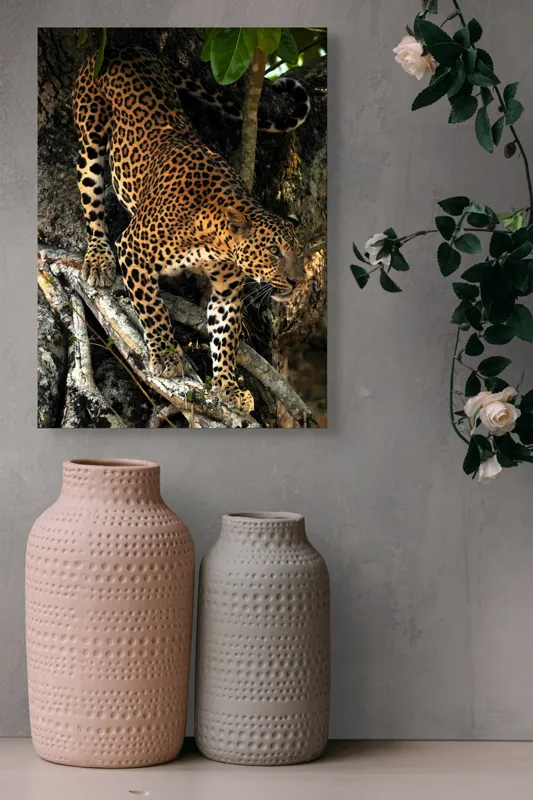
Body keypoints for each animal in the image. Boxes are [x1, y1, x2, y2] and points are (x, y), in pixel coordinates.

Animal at [72, 44, 309, 414]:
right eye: (274, 251)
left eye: (298, 253)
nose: (300, 281)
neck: (214, 237)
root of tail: (125, 47)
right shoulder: (133, 250)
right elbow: (152, 309)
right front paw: (165, 356)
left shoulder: (226, 290)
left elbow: (225, 338)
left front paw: (228, 387)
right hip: (90, 135)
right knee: (90, 199)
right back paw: (98, 259)